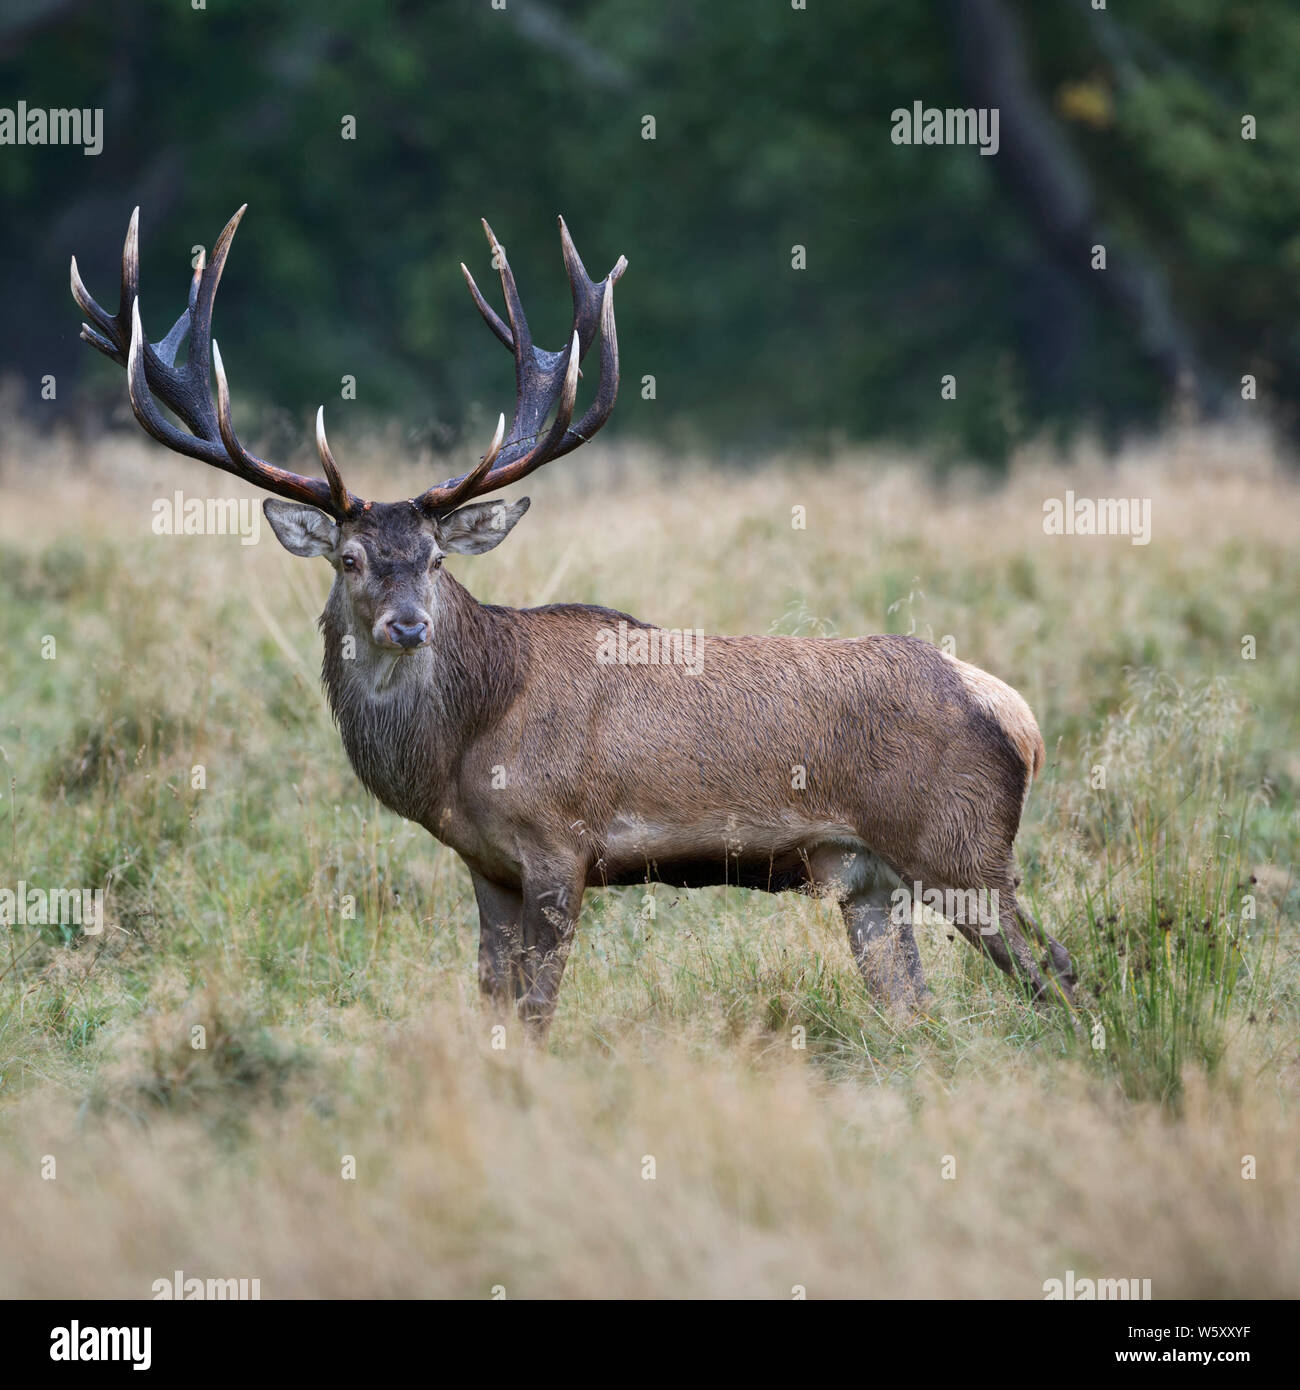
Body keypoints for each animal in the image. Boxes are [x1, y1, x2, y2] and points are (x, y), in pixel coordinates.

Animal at [71, 206, 1076, 1039]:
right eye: (349, 560)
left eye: (436, 560)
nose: (408, 626)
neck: (464, 746)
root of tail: (1019, 717)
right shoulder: (486, 866)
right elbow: (491, 1000)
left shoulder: (561, 845)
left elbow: (535, 1009)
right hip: (869, 878)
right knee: (916, 1008)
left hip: (962, 847)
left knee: (1055, 969)